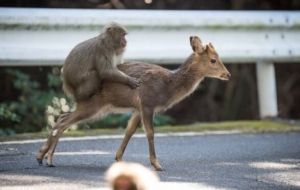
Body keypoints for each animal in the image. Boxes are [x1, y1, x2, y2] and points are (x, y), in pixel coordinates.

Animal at [37, 35, 230, 171]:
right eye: (213, 60)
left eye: (219, 57)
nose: (227, 74)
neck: (168, 86)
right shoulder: (147, 103)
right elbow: (150, 133)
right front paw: (157, 165)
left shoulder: (137, 108)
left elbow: (129, 131)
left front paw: (118, 158)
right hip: (92, 104)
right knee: (63, 121)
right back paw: (48, 159)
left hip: (95, 107)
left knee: (62, 117)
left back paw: (42, 156)